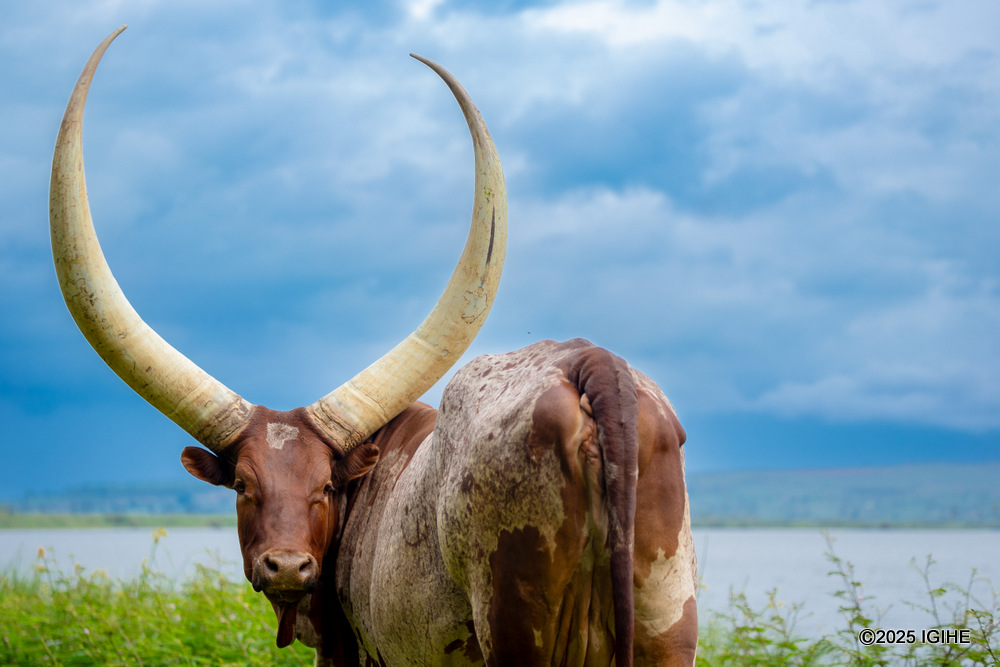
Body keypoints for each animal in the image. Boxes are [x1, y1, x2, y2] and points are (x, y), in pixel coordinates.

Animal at [50, 27, 698, 666]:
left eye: (324, 487)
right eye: (242, 486)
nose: (287, 567)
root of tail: (592, 364)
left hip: (517, 626)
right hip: (667, 625)